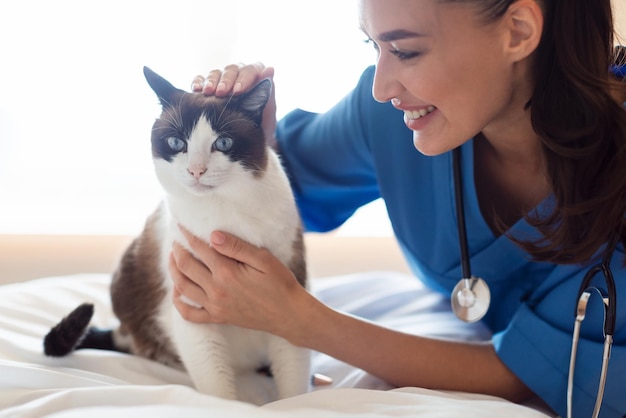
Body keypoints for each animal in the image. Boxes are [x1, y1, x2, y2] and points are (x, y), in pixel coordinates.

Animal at [42, 66, 310, 404]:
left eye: (223, 143)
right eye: (175, 143)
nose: (196, 170)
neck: (225, 214)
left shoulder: (287, 296)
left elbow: (294, 384)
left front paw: (293, 405)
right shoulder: (192, 310)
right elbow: (219, 393)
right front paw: (233, 406)